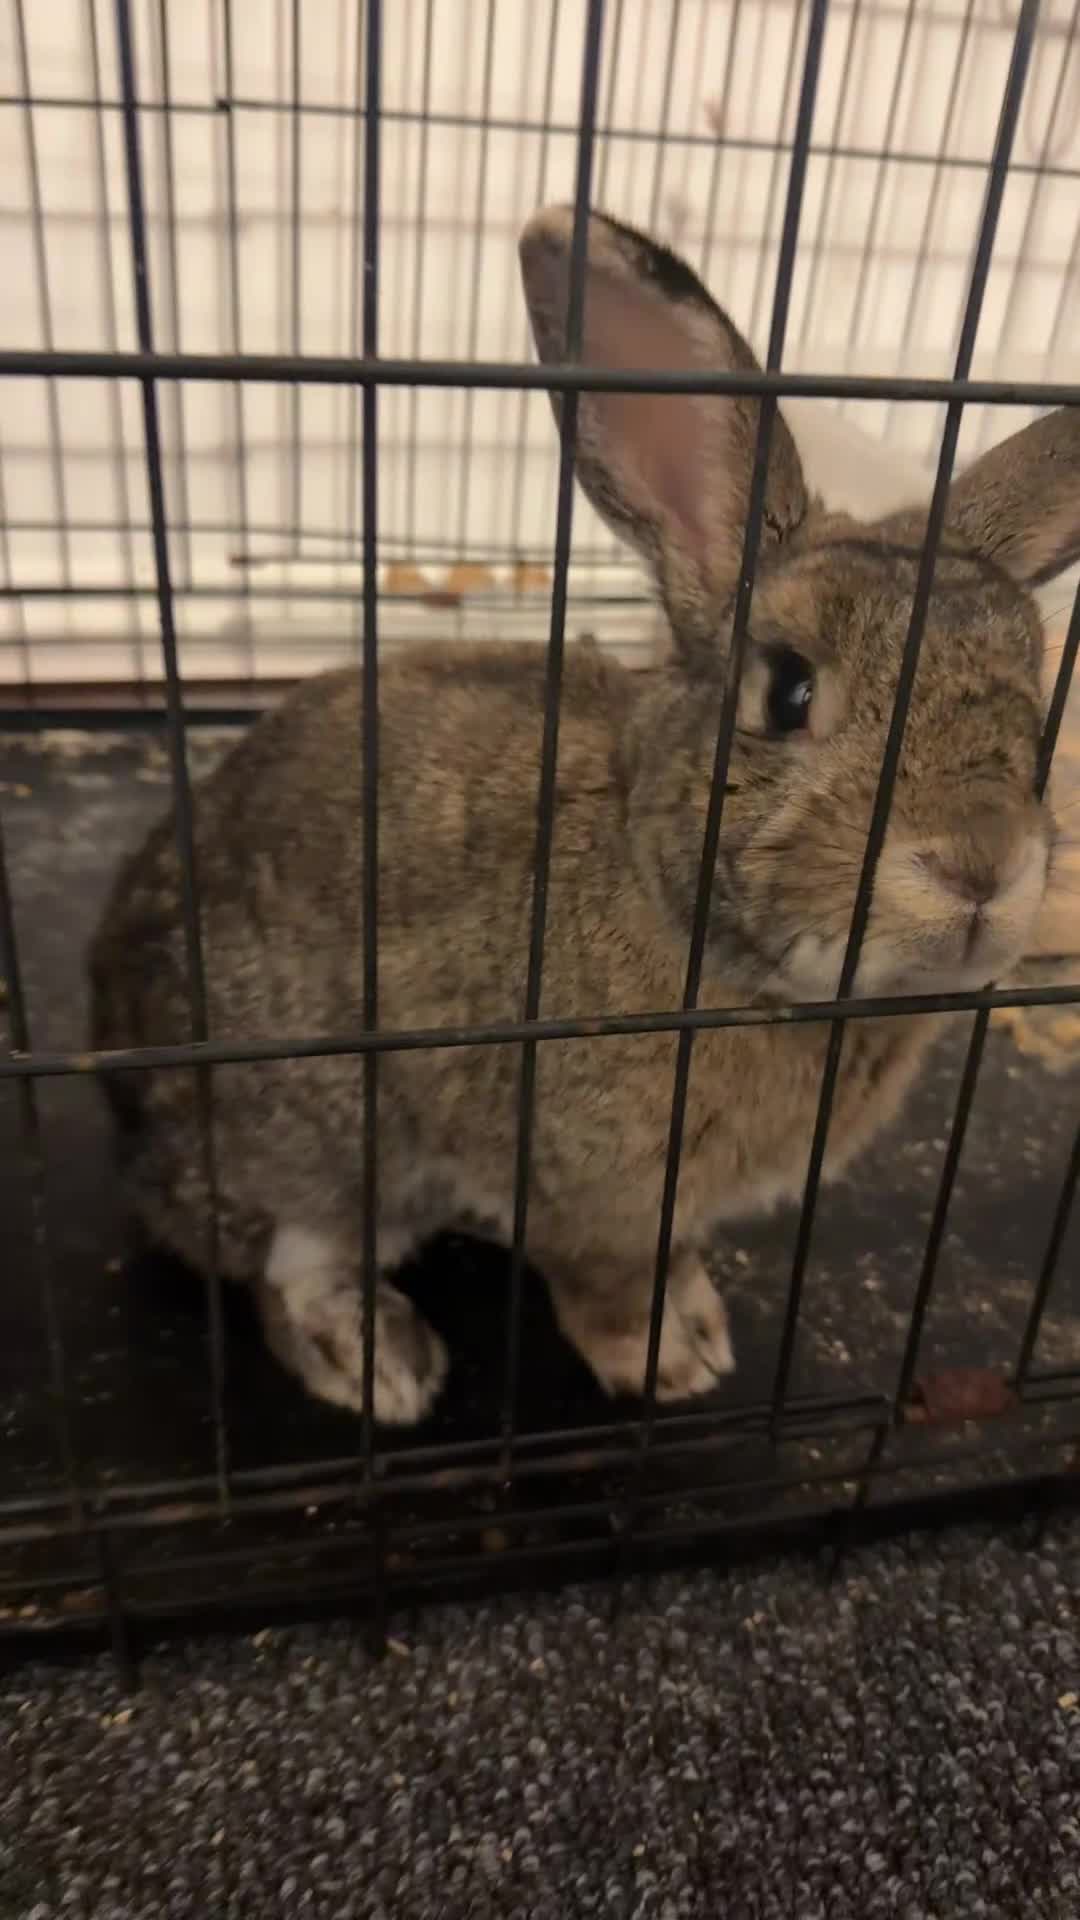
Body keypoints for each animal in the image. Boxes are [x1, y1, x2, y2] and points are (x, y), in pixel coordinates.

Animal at [88, 205, 1079, 1425]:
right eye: (789, 691)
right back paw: (381, 1365)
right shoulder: (578, 1198)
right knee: (288, 1265)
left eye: (1036, 711)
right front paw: (664, 1364)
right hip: (311, 1140)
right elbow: (601, 1283)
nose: (980, 867)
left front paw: (698, 1325)